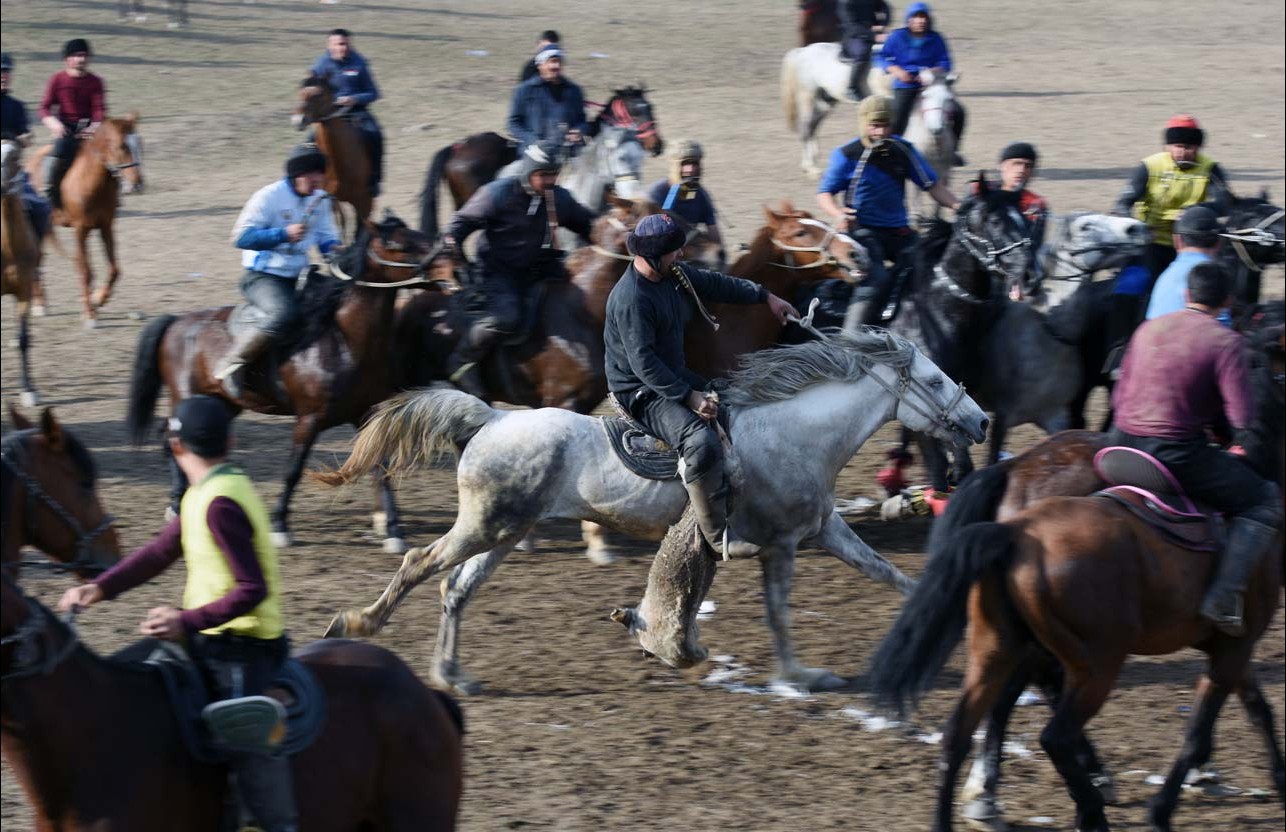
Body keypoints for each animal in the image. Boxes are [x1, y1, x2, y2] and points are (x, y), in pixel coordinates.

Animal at [24, 114, 143, 326]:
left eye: (139, 144)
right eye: (122, 146)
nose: (137, 184)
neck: (92, 181)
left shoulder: (106, 227)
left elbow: (114, 269)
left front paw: (97, 299)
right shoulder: (80, 230)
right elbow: (85, 270)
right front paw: (89, 314)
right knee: (36, 259)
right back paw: (39, 304)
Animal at [125, 214, 453, 555]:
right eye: (399, 245)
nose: (450, 265)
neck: (345, 341)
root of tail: (176, 322)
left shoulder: (367, 416)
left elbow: (380, 468)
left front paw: (392, 529)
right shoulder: (309, 420)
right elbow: (293, 470)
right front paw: (279, 525)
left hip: (221, 404)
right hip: (186, 396)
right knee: (171, 438)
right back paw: (176, 503)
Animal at [294, 75, 373, 241]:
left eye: (318, 95)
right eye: (300, 93)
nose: (298, 120)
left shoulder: (363, 199)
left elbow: (364, 225)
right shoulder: (329, 198)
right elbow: (340, 222)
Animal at [316, 330, 989, 695]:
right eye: (934, 378)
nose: (981, 421)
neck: (795, 433)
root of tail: (492, 418)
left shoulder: (820, 530)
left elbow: (885, 572)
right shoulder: (782, 545)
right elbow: (778, 613)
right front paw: (797, 674)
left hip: (505, 532)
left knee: (456, 589)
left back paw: (451, 675)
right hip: (483, 526)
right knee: (418, 563)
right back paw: (357, 624)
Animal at [869, 302, 1286, 832]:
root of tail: (1014, 476)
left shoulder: (1231, 643)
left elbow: (1254, 707)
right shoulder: (1235, 641)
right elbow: (1209, 725)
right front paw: (1175, 797)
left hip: (1006, 643)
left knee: (974, 721)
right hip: (1094, 659)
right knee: (1046, 719)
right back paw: (1071, 788)